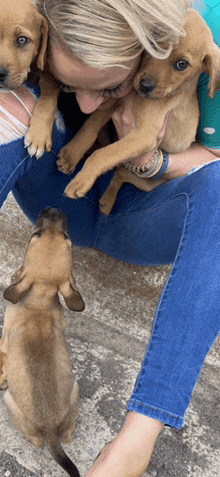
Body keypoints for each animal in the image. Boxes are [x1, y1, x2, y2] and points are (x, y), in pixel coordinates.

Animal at [0, 207, 84, 476]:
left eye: (33, 236)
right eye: (69, 239)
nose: (55, 209)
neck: (40, 299)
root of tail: (50, 433)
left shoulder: (4, 337)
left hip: (9, 402)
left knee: (35, 440)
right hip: (75, 390)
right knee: (68, 435)